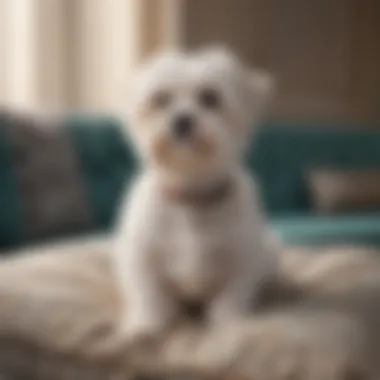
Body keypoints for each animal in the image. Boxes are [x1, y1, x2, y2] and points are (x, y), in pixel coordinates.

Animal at [114, 47, 278, 344]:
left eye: (210, 97)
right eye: (161, 99)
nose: (181, 120)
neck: (191, 196)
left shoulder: (243, 258)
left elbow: (232, 296)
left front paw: (229, 322)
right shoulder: (141, 255)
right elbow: (148, 293)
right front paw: (145, 323)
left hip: (271, 249)